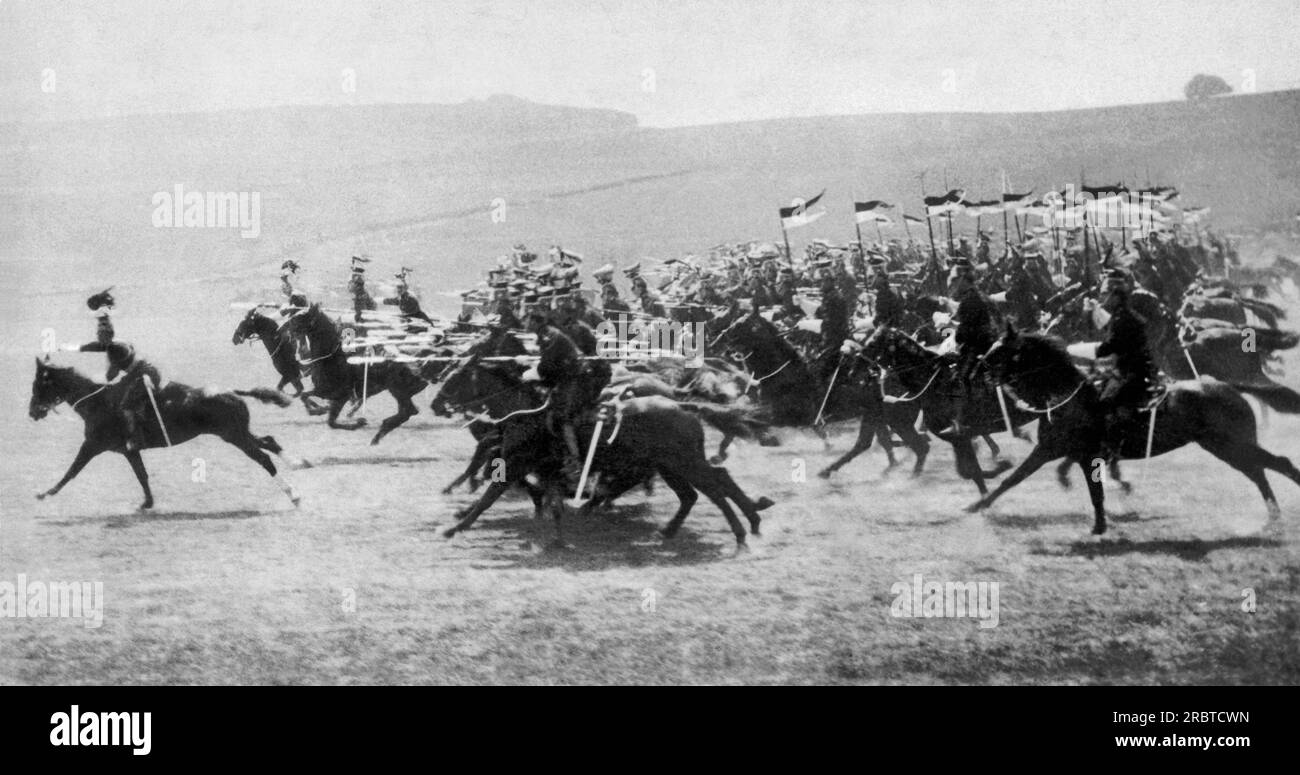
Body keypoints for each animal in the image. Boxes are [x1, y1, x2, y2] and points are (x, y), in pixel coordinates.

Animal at [29, 358, 300, 514]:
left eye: (39, 385)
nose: (32, 412)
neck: (98, 401)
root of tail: (231, 391)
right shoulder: (129, 451)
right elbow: (142, 475)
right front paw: (147, 503)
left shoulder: (92, 445)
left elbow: (71, 471)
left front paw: (45, 493)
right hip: (238, 433)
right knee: (270, 441)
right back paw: (299, 463)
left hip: (235, 436)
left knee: (264, 458)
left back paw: (294, 494)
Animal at [286, 305, 431, 444]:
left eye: (299, 317)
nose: (286, 330)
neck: (332, 357)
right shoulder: (324, 391)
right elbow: (304, 395)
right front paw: (318, 410)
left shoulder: (341, 395)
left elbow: (331, 422)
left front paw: (358, 422)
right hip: (401, 392)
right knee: (406, 412)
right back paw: (379, 433)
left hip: (397, 390)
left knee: (409, 411)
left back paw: (380, 430)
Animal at [431, 356, 774, 551]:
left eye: (455, 378)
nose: (435, 403)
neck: (527, 410)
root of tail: (683, 404)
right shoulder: (542, 469)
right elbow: (550, 502)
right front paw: (558, 539)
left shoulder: (517, 464)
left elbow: (488, 496)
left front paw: (456, 526)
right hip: (670, 466)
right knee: (696, 492)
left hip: (684, 463)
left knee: (715, 487)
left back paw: (743, 530)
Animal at [972, 325, 1300, 533]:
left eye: (1001, 349)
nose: (977, 368)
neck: (1069, 395)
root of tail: (1228, 386)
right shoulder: (1056, 452)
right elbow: (1014, 479)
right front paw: (977, 506)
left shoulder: (1072, 454)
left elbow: (1089, 491)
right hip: (1226, 448)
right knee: (1258, 471)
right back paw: (1272, 516)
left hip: (1231, 445)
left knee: (1276, 464)